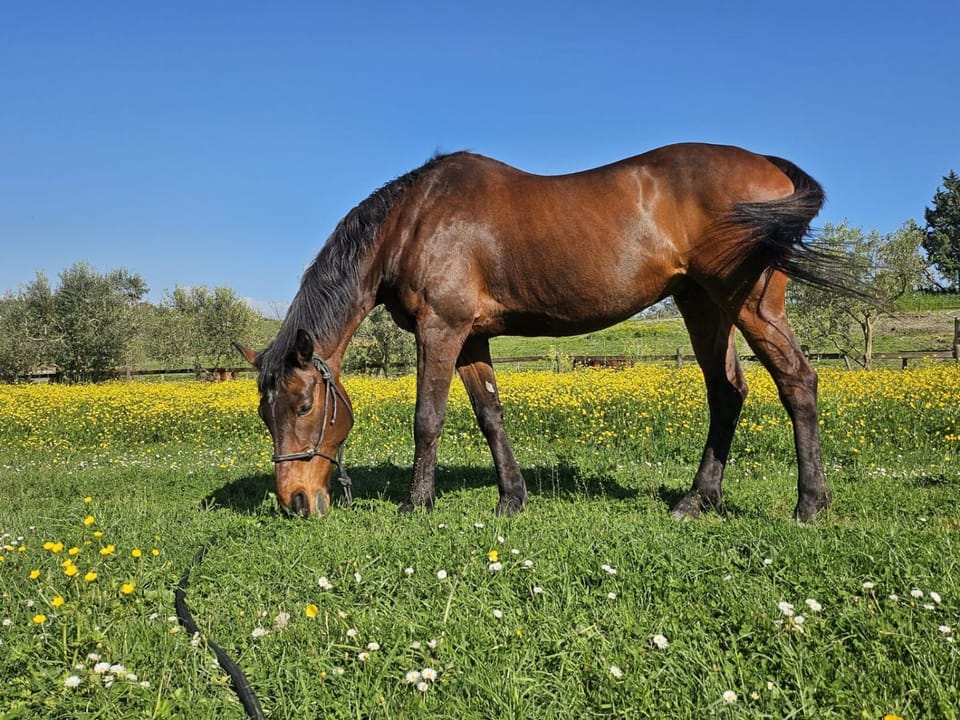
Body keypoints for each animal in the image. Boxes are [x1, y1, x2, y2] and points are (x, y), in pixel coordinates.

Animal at [237, 142, 850, 521]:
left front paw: (417, 504)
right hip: (703, 306)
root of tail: (766, 164)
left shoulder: (441, 330)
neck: (413, 220)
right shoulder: (471, 338)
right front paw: (511, 499)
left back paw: (809, 505)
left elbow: (427, 419)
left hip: (748, 304)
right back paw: (697, 501)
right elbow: (490, 415)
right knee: (727, 393)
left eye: (302, 406)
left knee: (797, 382)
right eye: (265, 414)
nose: (294, 501)